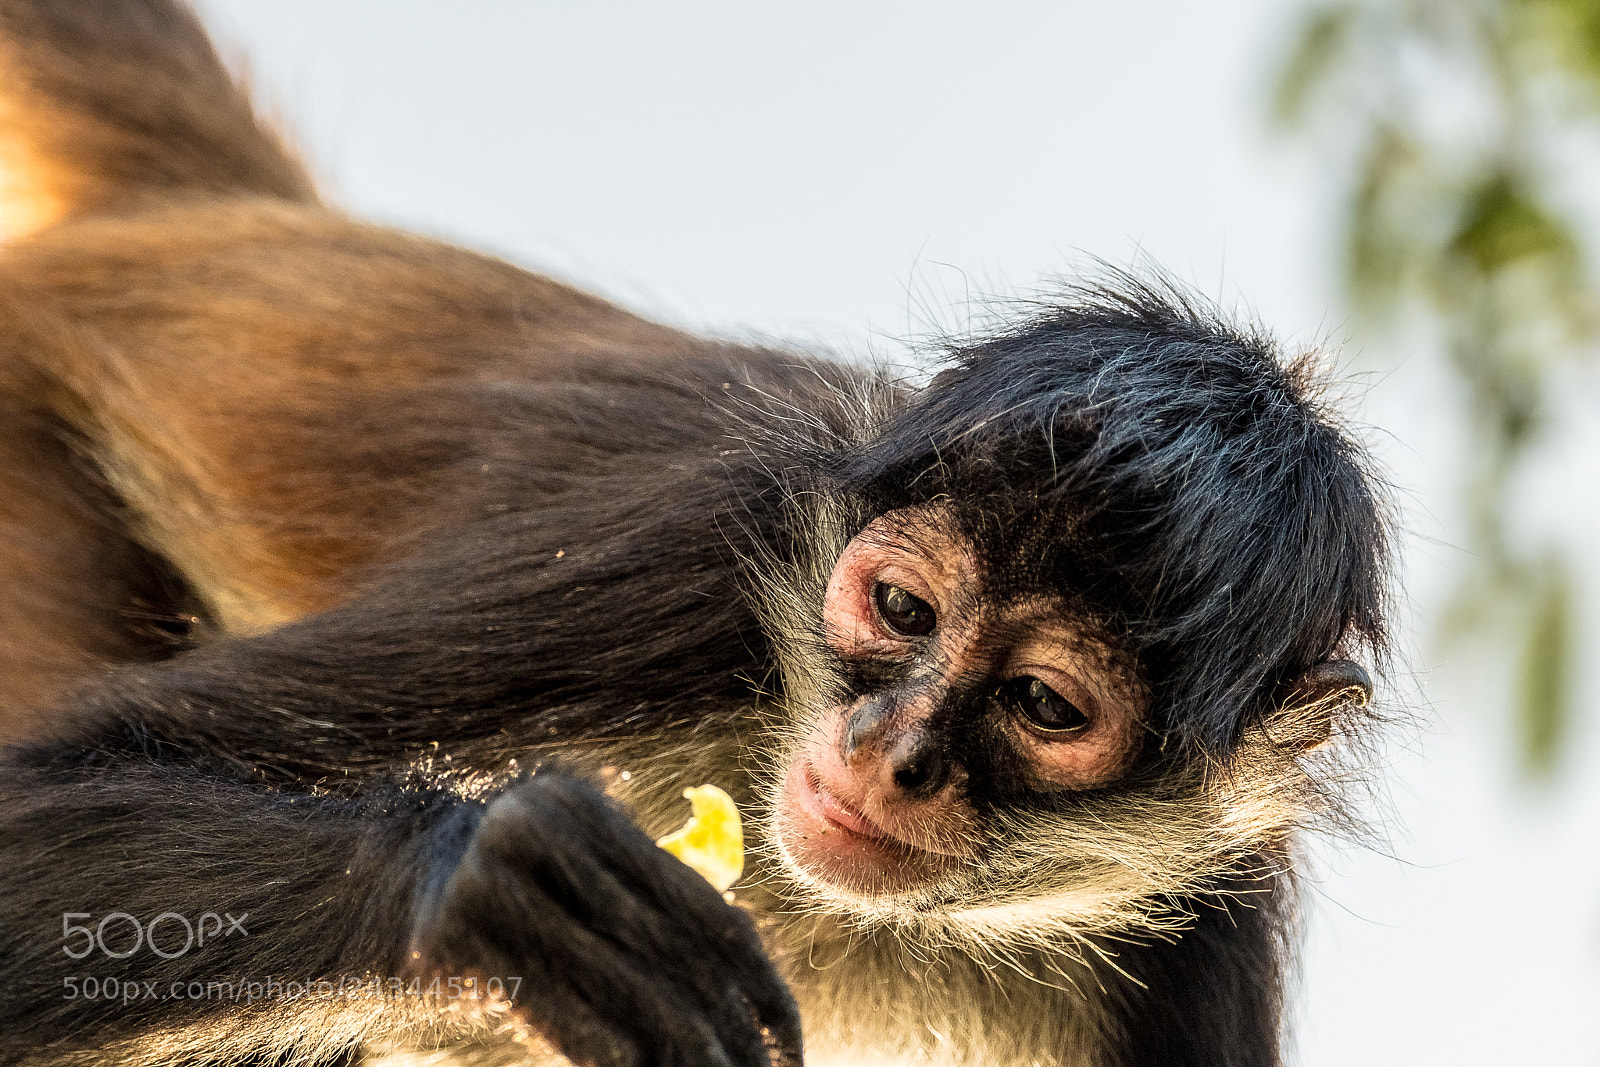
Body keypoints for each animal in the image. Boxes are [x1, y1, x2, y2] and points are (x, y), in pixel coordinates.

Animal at [0, 2, 1392, 1066]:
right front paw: (471, 880)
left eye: (1045, 704)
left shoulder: (1207, 934)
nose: (890, 753)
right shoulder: (706, 542)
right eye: (902, 610)